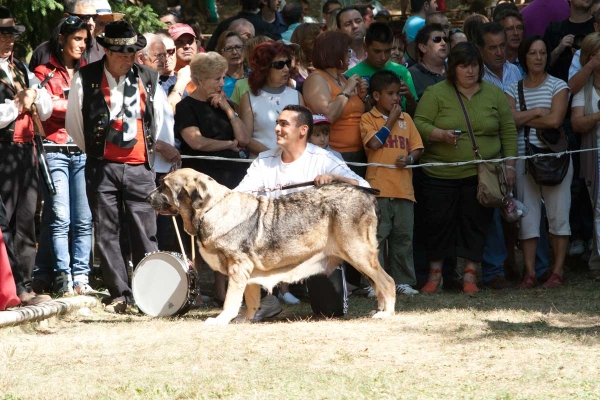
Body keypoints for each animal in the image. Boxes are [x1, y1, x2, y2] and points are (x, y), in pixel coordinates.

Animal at [148, 169, 396, 324]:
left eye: (164, 185)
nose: (147, 197)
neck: (211, 208)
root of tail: (367, 196)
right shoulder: (245, 271)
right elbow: (250, 299)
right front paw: (246, 319)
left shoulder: (237, 267)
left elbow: (231, 300)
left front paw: (221, 320)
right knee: (378, 283)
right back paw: (380, 310)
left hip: (359, 253)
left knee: (387, 281)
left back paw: (387, 314)